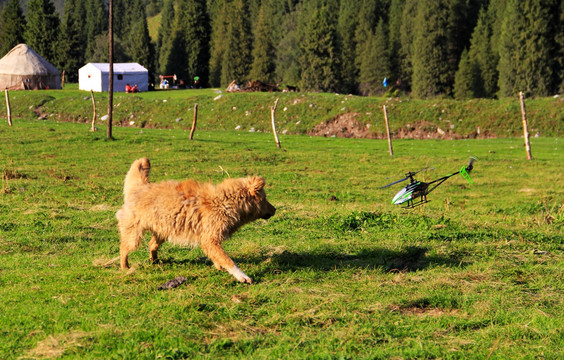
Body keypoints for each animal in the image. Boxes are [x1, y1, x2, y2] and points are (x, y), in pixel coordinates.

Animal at [115, 158, 274, 284]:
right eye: (265, 198)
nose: (275, 209)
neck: (225, 202)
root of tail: (141, 186)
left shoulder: (210, 241)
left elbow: (218, 257)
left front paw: (219, 266)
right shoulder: (210, 239)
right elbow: (227, 260)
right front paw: (242, 276)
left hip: (164, 230)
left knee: (151, 245)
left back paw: (154, 261)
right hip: (134, 235)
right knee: (123, 248)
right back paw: (125, 267)